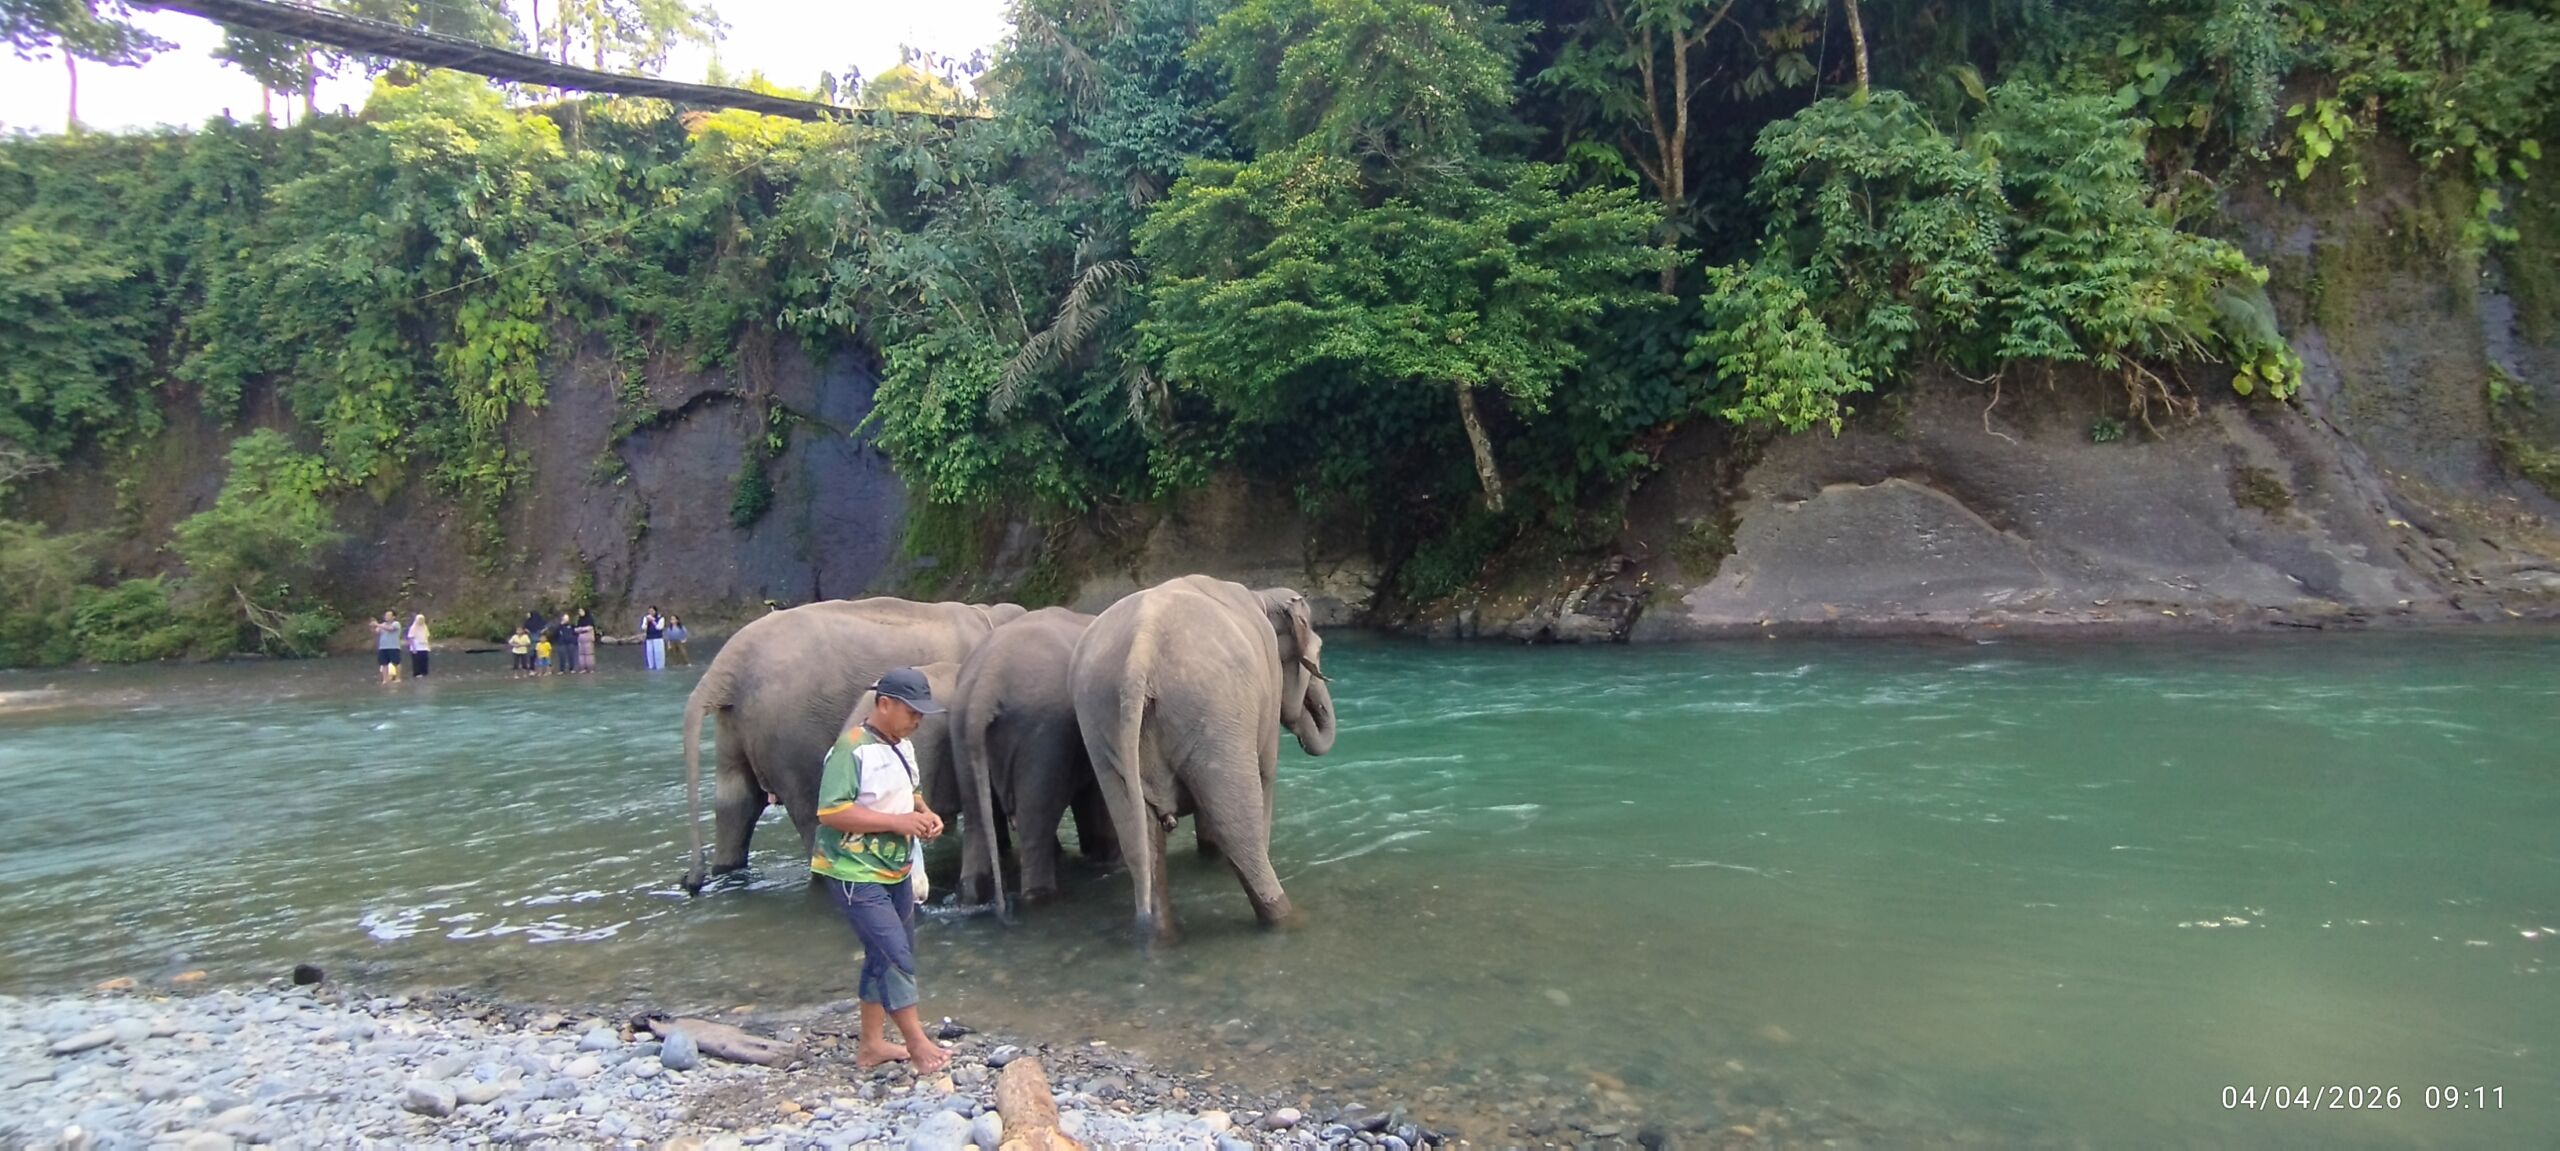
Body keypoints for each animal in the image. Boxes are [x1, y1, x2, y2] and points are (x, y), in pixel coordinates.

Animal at [681, 597, 1024, 893]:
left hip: (735, 725)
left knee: (735, 801)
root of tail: (728, 662)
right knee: (810, 810)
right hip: (790, 737)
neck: (986, 614)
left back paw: (726, 873)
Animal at [947, 607, 1122, 914]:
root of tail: (984, 684)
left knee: (976, 821)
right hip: (1042, 735)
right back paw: (1042, 898)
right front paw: (1108, 861)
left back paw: (971, 899)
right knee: (1034, 822)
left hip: (962, 732)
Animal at [1070, 575, 1338, 944]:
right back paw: (1290, 921)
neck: (1262, 596)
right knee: (1238, 826)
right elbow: (1265, 773)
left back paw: (1162, 938)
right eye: (1319, 650)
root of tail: (1139, 653)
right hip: (1213, 711)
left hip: (1100, 723)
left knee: (1139, 842)